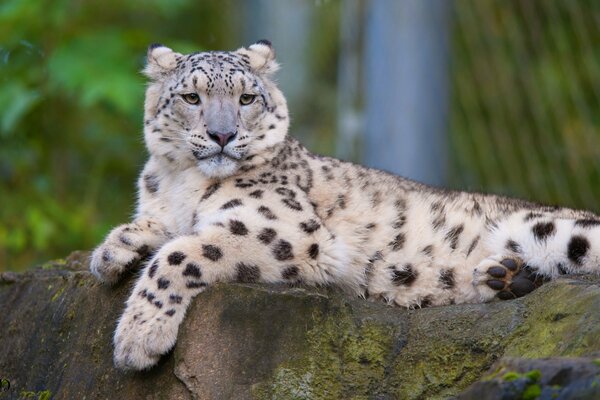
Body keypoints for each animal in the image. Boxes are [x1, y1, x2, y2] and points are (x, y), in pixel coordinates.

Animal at [89, 39, 600, 370]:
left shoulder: (283, 228)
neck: (179, 181)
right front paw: (111, 252)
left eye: (247, 97)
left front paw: (137, 338)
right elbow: (158, 229)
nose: (222, 134)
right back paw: (505, 276)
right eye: (191, 96)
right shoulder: (166, 207)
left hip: (556, 230)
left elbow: (179, 254)